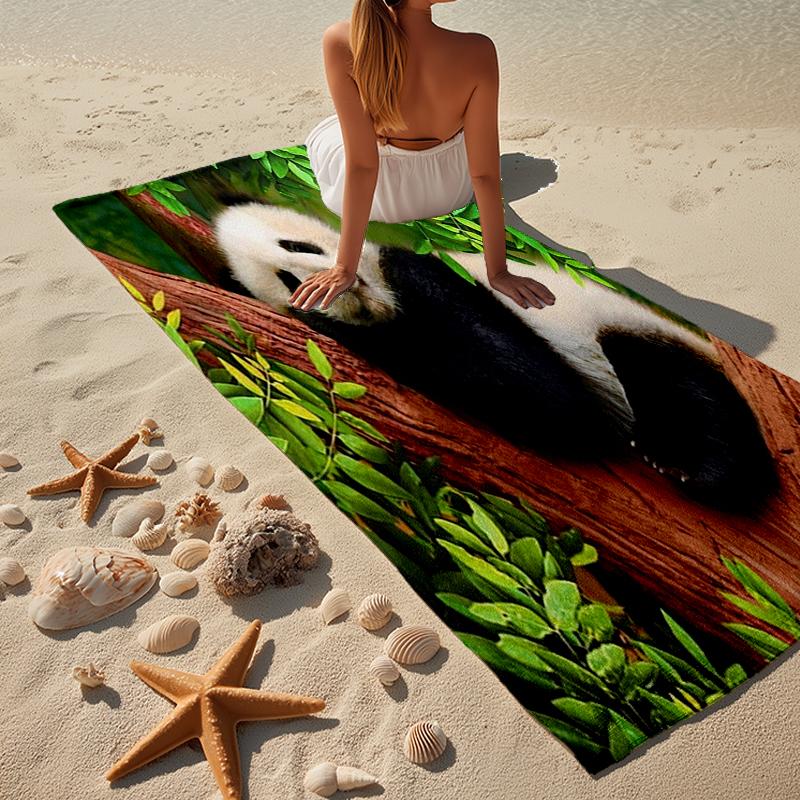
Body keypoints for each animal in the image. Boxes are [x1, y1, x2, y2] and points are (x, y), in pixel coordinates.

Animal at [212, 200, 778, 515]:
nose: (340, 289)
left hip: (633, 331)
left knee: (689, 394)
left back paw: (691, 467)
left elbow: (547, 396)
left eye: (296, 246)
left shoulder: (433, 280)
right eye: (287, 280)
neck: (385, 303)